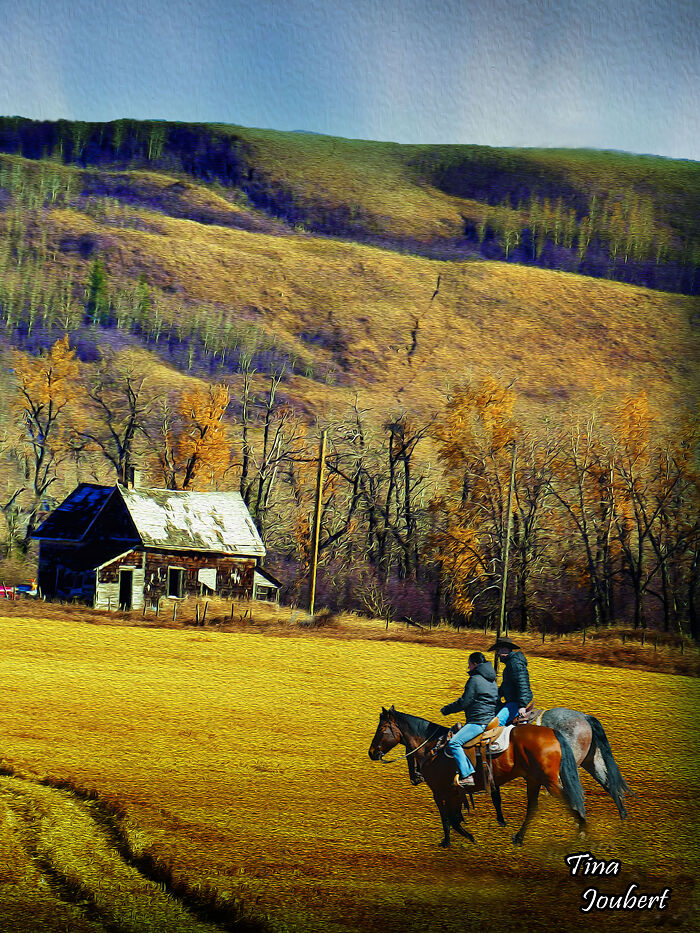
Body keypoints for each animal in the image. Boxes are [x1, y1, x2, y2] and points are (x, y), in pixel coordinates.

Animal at [370, 708, 588, 844]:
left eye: (382, 729)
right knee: (533, 807)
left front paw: (458, 840)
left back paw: (583, 831)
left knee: (569, 800)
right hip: (534, 780)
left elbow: (449, 818)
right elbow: (453, 817)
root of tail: (552, 732)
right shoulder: (455, 794)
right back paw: (518, 837)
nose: (371, 753)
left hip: (549, 782)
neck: (434, 748)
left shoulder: (442, 792)